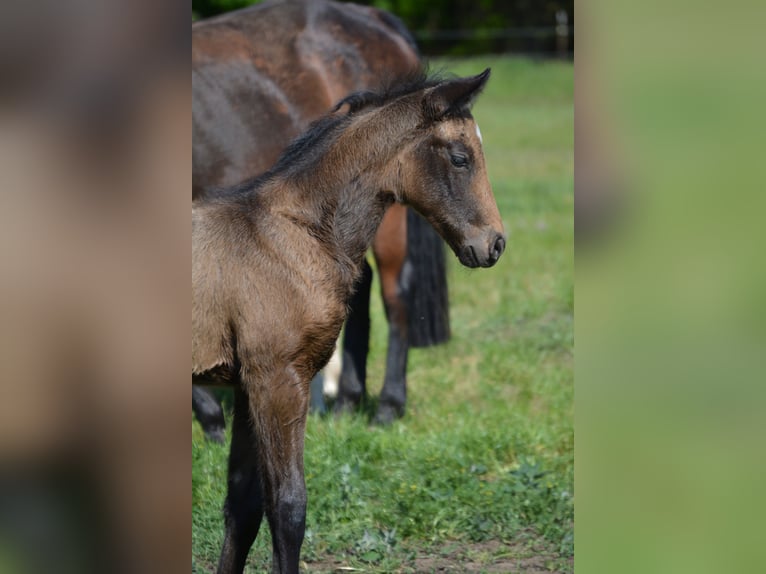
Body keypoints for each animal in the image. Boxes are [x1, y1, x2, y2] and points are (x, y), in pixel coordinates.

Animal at [192, 69, 504, 573]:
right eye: (460, 157)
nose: (494, 243)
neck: (295, 234)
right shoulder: (279, 380)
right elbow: (288, 507)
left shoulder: (246, 384)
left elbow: (242, 505)